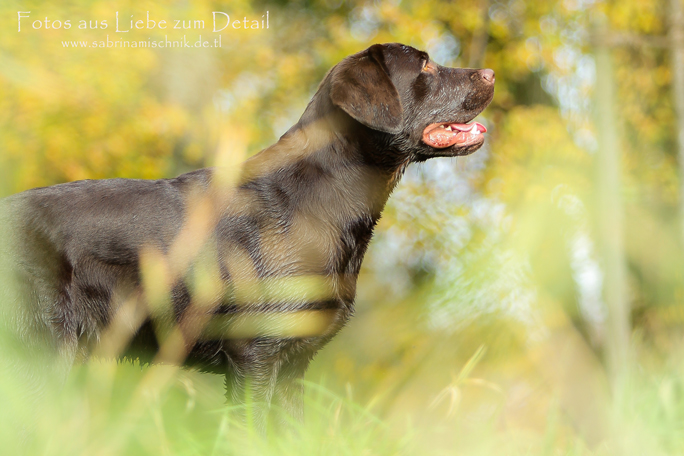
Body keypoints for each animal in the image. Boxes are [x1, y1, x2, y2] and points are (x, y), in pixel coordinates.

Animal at [0, 41, 492, 428]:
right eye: (424, 66)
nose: (489, 74)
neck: (319, 202)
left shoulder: (293, 366)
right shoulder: (255, 355)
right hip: (41, 351)